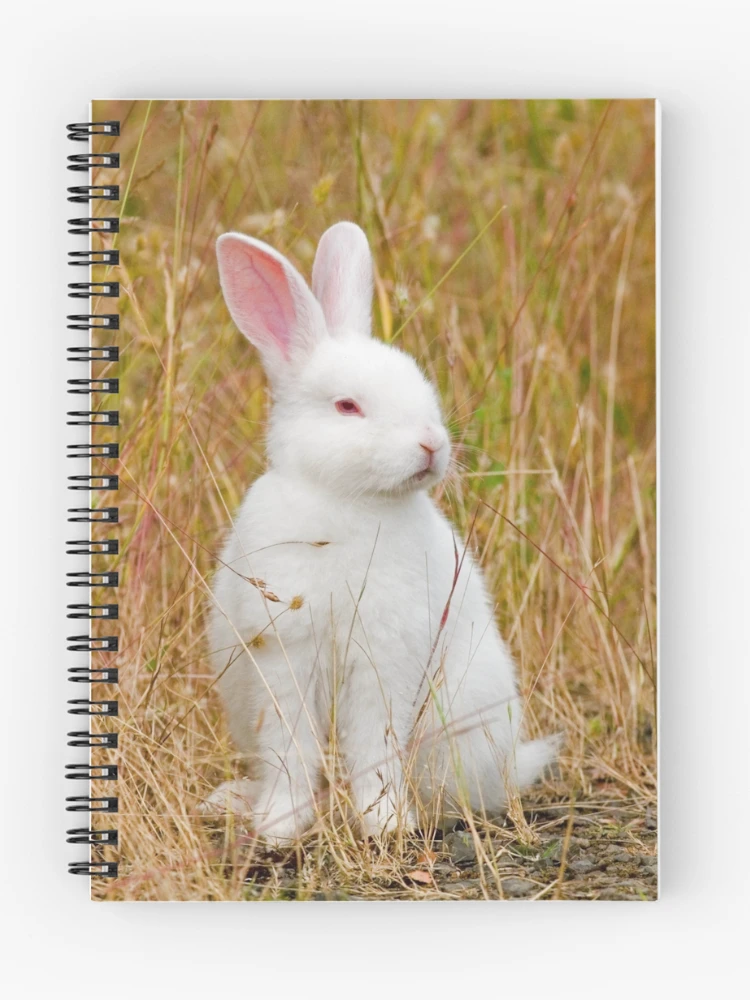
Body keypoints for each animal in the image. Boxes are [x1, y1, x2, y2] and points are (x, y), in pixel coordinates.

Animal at [204, 221, 558, 843]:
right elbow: (290, 748)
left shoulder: (385, 659)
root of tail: (511, 766)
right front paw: (279, 825)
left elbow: (373, 745)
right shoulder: (285, 657)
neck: (348, 500)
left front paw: (384, 824)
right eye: (347, 406)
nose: (432, 445)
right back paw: (235, 801)